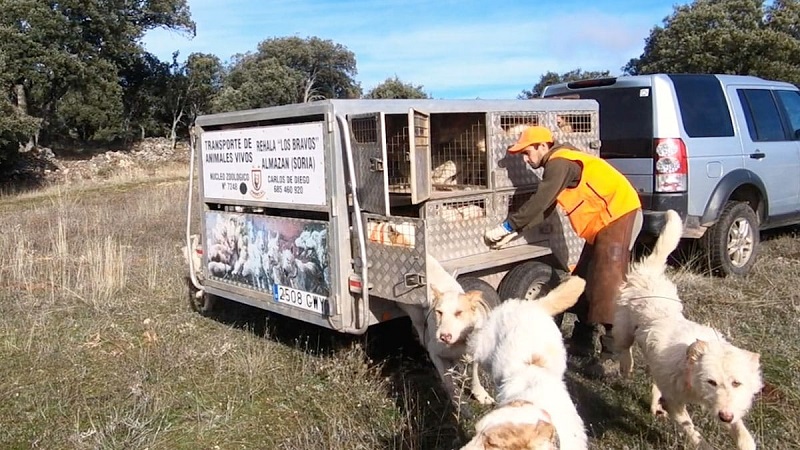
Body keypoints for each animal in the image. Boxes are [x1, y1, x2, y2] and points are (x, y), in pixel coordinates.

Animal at [466, 276, 592, 448]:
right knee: (473, 361)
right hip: (483, 350)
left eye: (492, 443)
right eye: (476, 431)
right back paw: (479, 391)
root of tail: (532, 304)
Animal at [612, 211, 764, 450]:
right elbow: (690, 428)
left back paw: (654, 403)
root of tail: (649, 272)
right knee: (624, 347)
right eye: (711, 381)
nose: (724, 417)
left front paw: (744, 440)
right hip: (624, 328)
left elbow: (740, 429)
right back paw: (627, 366)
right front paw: (700, 442)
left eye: (736, 383)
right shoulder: (675, 401)